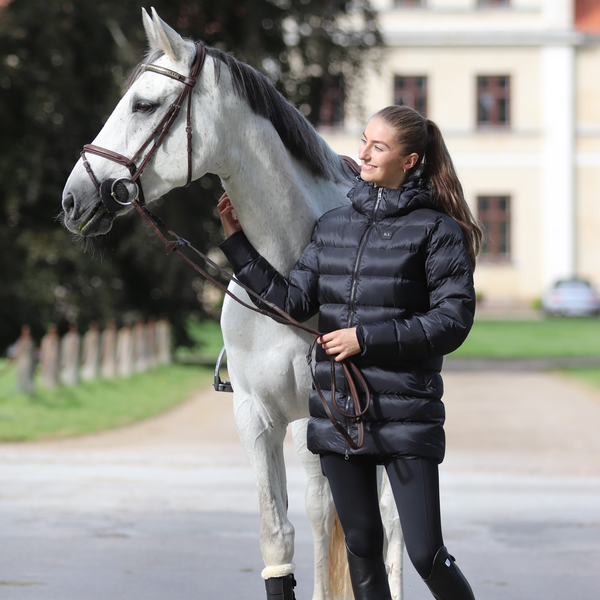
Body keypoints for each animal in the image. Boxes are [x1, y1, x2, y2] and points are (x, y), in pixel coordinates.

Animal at [62, 9, 404, 600]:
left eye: (143, 104)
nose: (72, 198)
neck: (286, 269)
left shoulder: (322, 422)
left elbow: (325, 523)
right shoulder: (256, 417)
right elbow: (276, 534)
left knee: (391, 524)